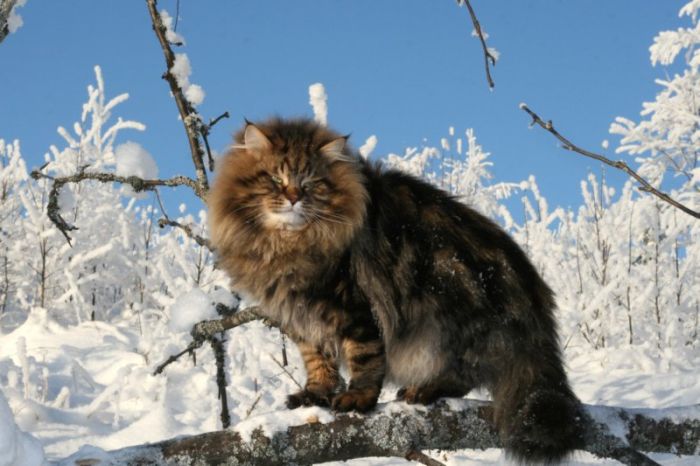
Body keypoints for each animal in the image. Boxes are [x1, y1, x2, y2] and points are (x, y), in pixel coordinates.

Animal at [208, 116, 584, 462]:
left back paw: (425, 389)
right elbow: (318, 362)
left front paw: (357, 398)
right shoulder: (304, 318)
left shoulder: (354, 307)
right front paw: (314, 394)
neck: (288, 246)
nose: (293, 199)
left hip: (450, 319)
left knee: (465, 374)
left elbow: (365, 358)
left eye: (311, 183)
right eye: (276, 179)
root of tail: (532, 298)